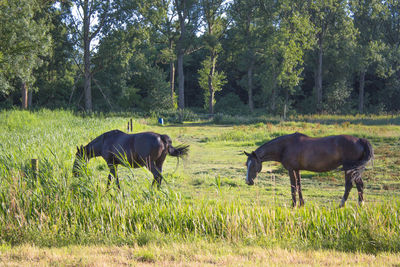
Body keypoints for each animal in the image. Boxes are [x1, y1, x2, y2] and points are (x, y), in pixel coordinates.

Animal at [245, 133, 374, 208]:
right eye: (247, 164)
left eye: (253, 165)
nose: (248, 182)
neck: (285, 146)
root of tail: (360, 140)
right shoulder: (297, 170)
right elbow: (299, 186)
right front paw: (302, 204)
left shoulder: (291, 169)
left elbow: (293, 187)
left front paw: (293, 205)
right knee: (359, 185)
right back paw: (360, 204)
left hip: (349, 169)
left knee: (349, 185)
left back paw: (342, 204)